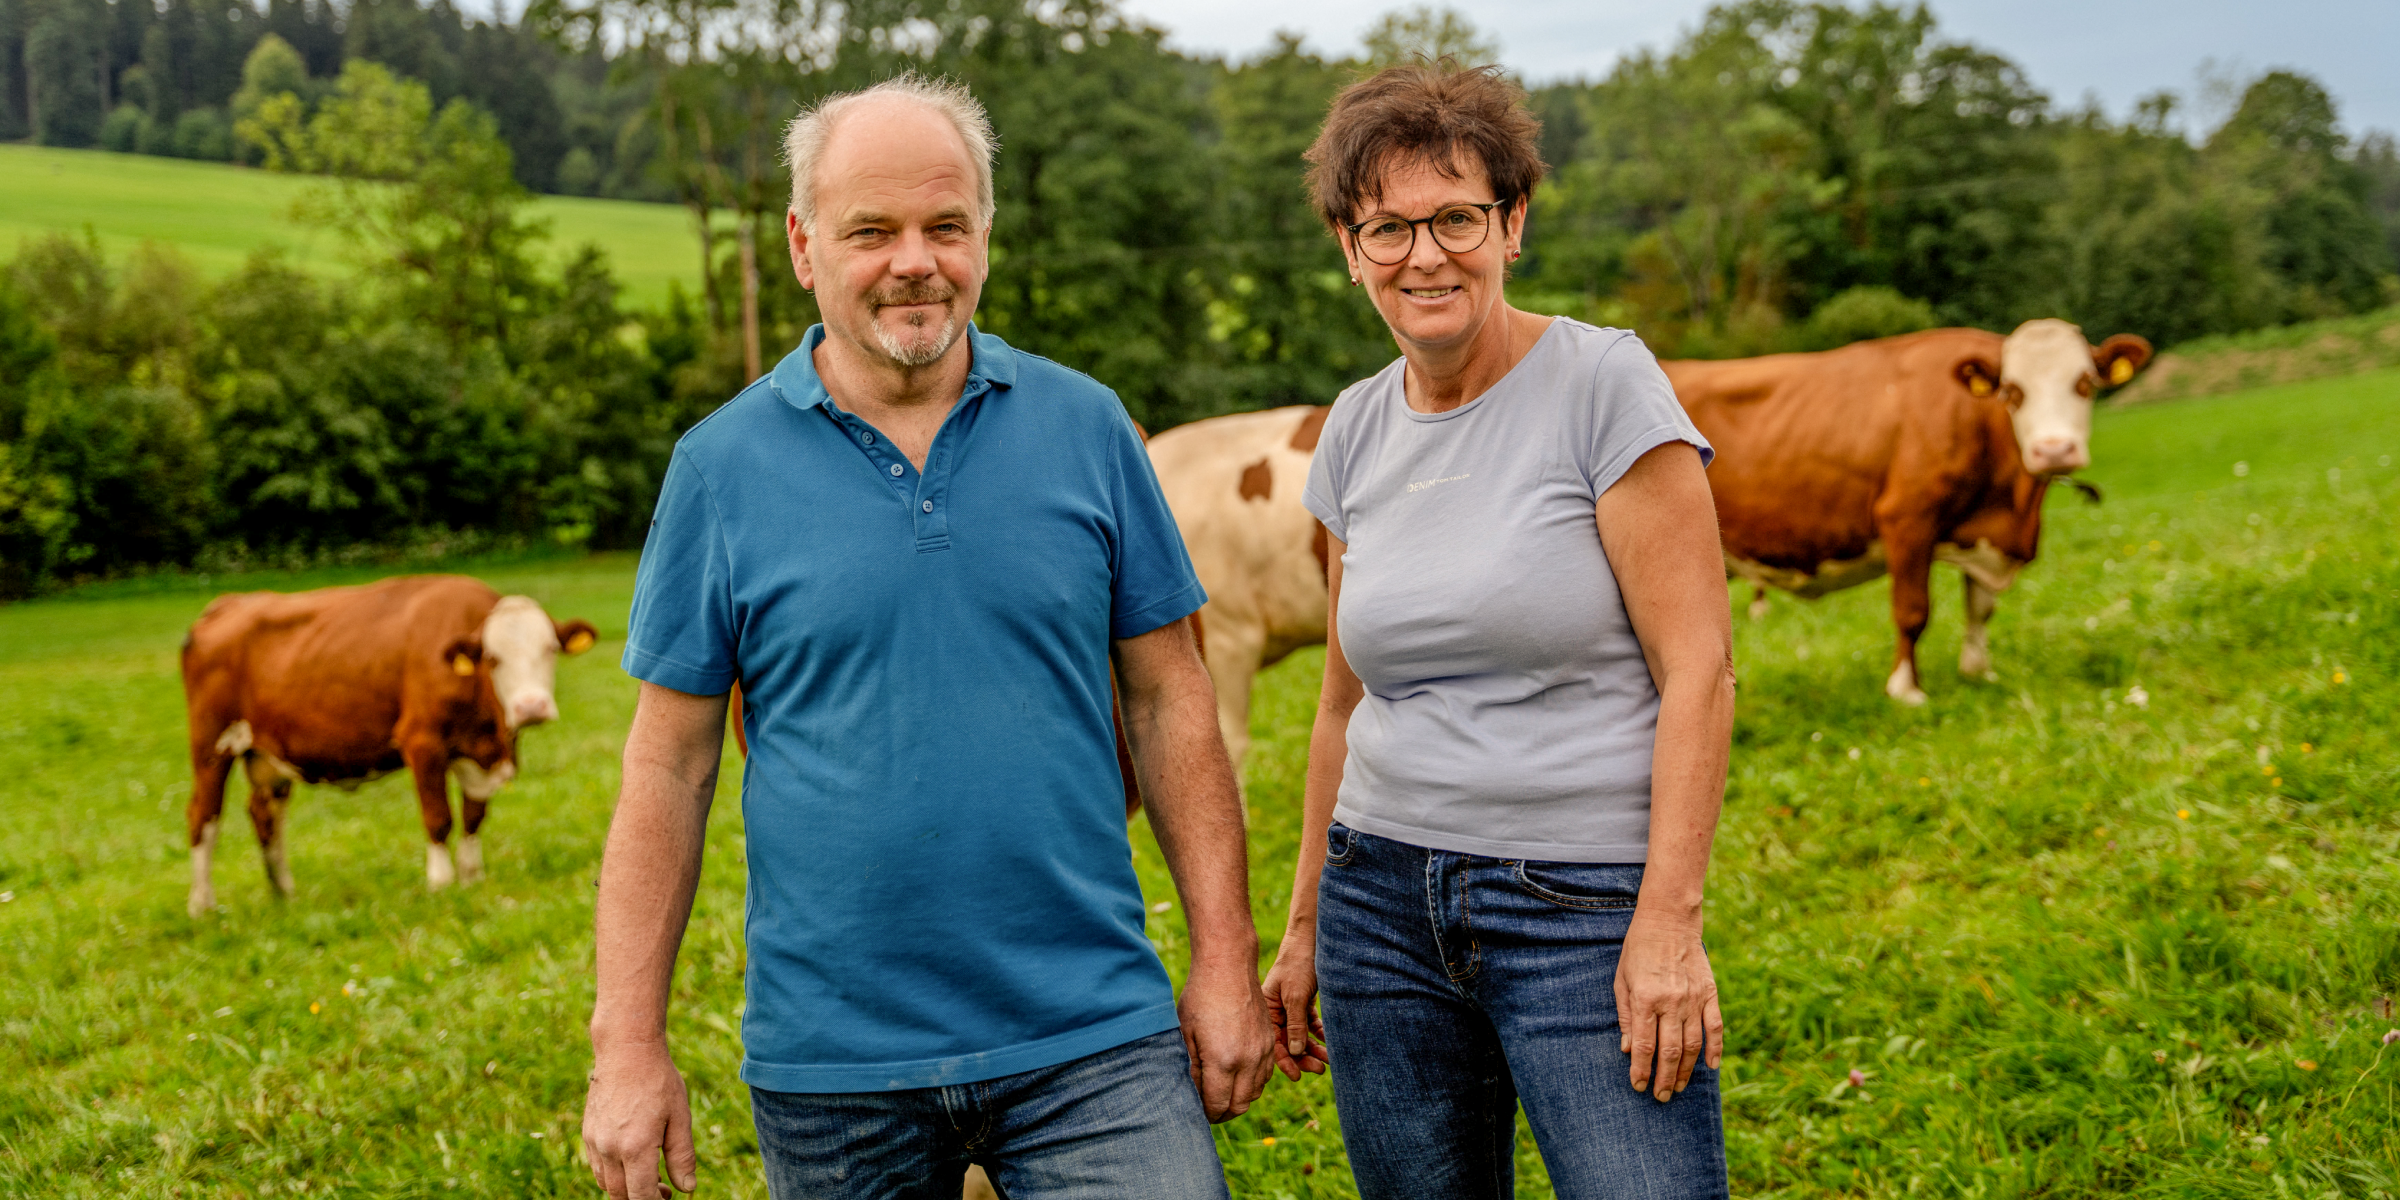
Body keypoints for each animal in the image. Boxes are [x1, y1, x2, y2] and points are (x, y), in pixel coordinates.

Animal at [181, 576, 595, 912]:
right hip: (212, 744)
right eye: (493, 658)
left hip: (265, 753)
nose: (531, 707)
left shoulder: (478, 755)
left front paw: (472, 877)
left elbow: (474, 816)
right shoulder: (422, 742)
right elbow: (439, 818)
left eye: (551, 649)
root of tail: (230, 602)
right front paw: (441, 883)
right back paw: (203, 906)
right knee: (204, 816)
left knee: (265, 815)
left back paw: (285, 895)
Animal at [1670, 319, 2160, 700]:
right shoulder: (1906, 520)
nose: (2054, 450)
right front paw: (1906, 689)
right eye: (2012, 391)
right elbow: (1912, 611)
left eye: (2085, 384)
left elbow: (1979, 608)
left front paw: (1977, 671)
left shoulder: (1981, 532)